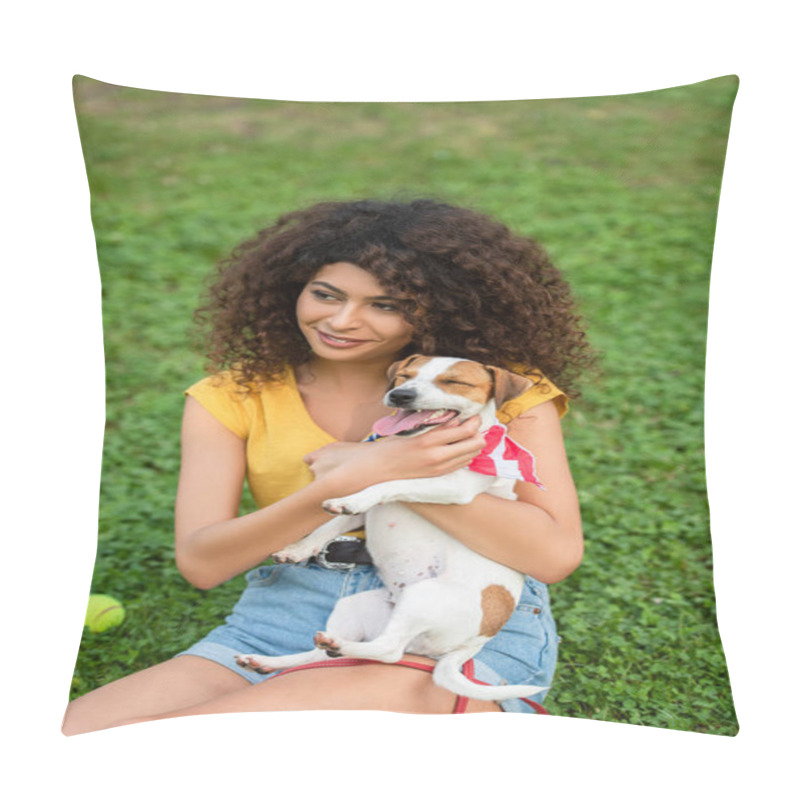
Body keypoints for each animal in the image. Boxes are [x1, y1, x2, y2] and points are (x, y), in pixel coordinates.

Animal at [236, 356, 552, 700]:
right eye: (404, 376)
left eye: (454, 382)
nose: (401, 395)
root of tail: (473, 643)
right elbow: (331, 523)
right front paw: (298, 549)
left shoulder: (453, 487)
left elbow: (389, 481)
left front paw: (355, 497)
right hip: (358, 605)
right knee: (324, 654)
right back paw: (271, 661)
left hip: (422, 596)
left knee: (388, 651)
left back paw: (339, 648)